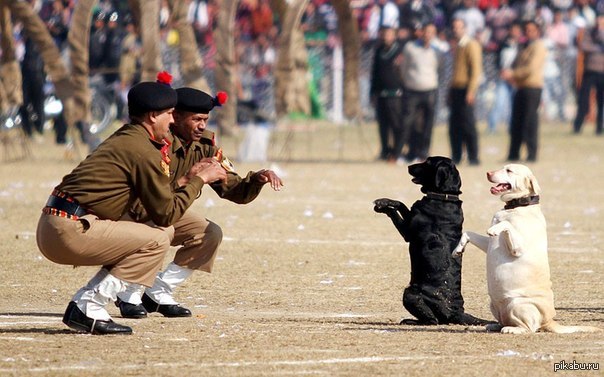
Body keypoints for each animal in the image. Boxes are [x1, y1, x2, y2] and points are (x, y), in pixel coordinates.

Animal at [376, 154, 488, 324]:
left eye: (427, 162)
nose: (409, 166)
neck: (444, 197)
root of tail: (456, 311)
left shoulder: (407, 231)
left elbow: (395, 212)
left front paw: (383, 206)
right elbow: (401, 204)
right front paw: (386, 201)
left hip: (409, 293)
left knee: (432, 321)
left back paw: (410, 321)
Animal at [452, 163, 600, 334]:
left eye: (509, 170)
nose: (488, 173)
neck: (516, 206)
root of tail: (549, 320)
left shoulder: (518, 248)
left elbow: (506, 224)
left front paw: (495, 229)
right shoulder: (488, 245)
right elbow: (468, 232)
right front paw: (457, 250)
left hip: (518, 304)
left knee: (530, 328)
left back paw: (511, 329)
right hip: (494, 304)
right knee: (503, 321)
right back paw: (491, 325)